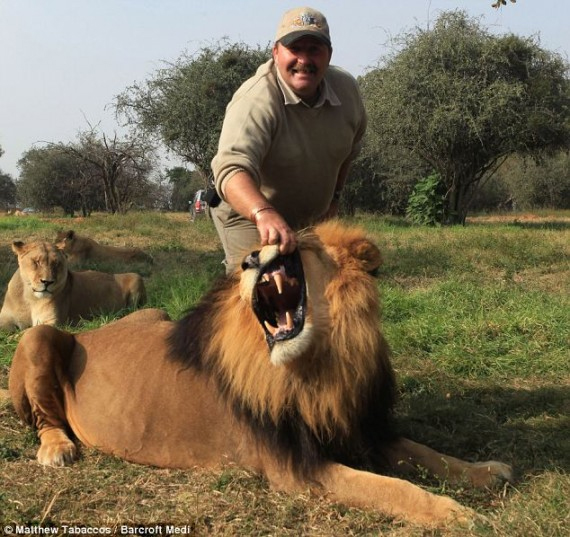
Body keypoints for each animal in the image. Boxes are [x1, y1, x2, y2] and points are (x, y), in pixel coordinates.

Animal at [0, 239, 146, 330]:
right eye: (36, 262)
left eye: (56, 264)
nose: (47, 282)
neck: (29, 297)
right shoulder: (4, 319)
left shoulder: (51, 322)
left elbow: (23, 333)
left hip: (136, 277)